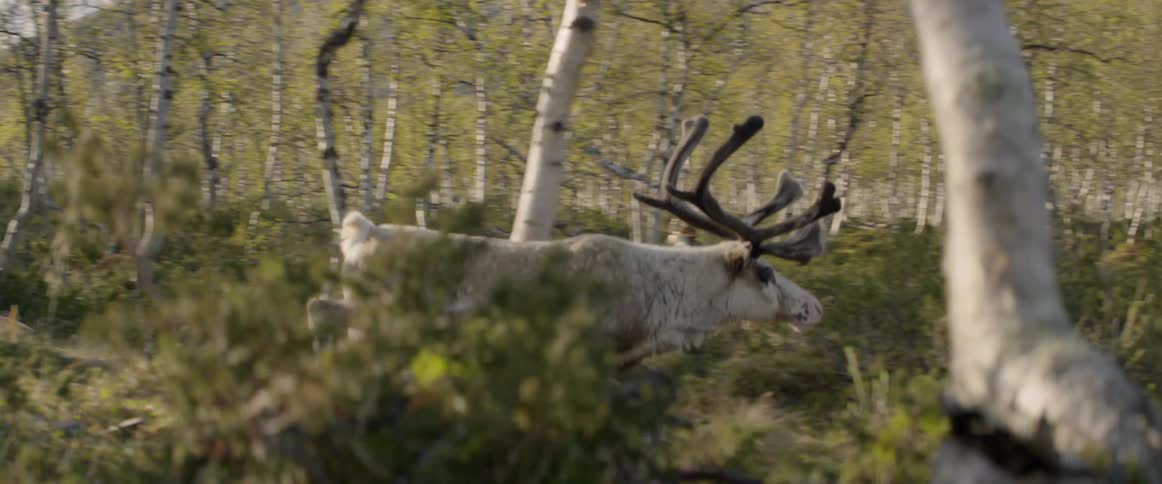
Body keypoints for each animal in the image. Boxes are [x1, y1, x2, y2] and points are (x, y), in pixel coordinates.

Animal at [307, 115, 843, 369]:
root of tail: (359, 234)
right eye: (766, 272)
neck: (663, 306)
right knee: (320, 309)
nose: (814, 307)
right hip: (377, 317)